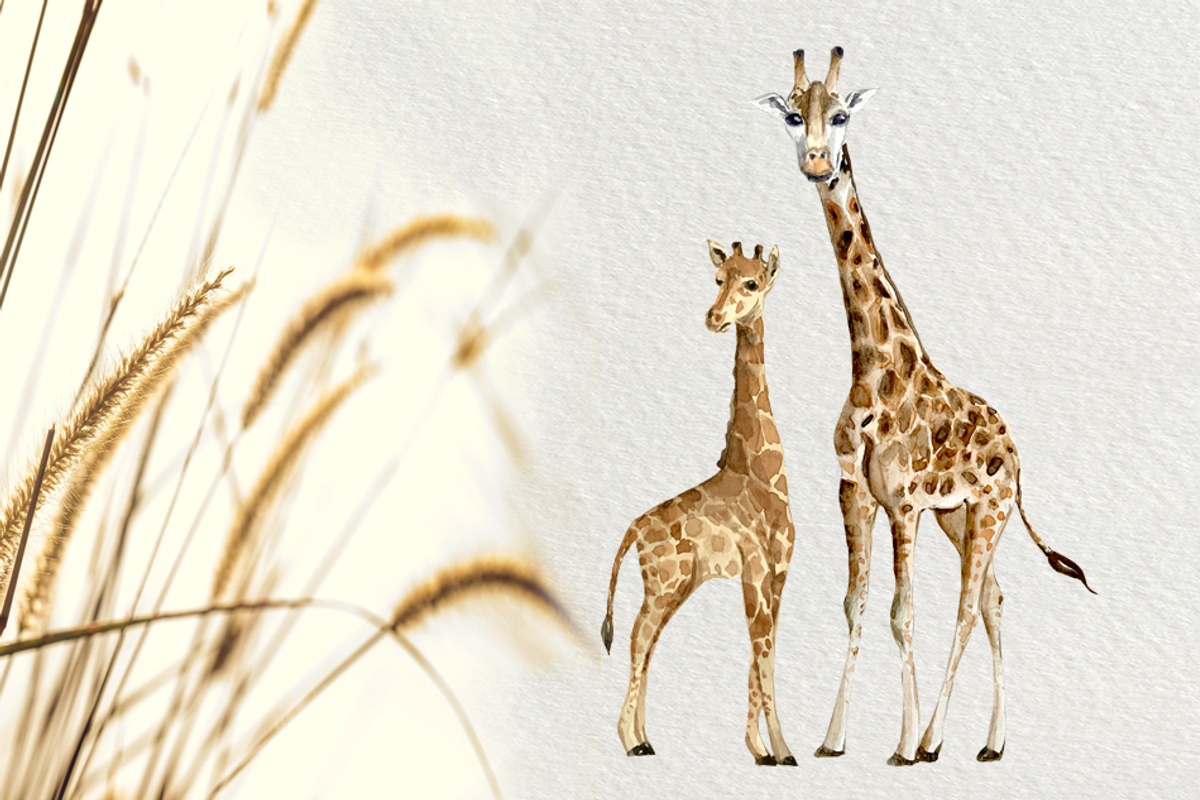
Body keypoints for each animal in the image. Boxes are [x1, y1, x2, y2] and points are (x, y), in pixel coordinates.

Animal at [602, 241, 797, 766]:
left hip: (677, 585)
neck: (758, 471)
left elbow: (763, 654)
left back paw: (643, 738)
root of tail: (632, 529)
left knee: (646, 641)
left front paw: (761, 751)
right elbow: (764, 653)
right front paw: (783, 751)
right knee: (638, 637)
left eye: (752, 282)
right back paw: (632, 742)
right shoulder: (755, 571)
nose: (714, 317)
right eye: (718, 279)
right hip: (665, 583)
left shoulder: (777, 574)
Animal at [754, 48, 1095, 766]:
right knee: (994, 597)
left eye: (843, 114)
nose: (818, 163)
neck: (871, 366)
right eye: (794, 115)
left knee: (970, 606)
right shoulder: (857, 493)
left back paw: (936, 740)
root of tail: (1018, 453)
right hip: (959, 518)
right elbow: (857, 605)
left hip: (989, 512)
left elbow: (901, 612)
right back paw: (989, 744)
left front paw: (903, 744)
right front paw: (833, 739)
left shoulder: (904, 501)